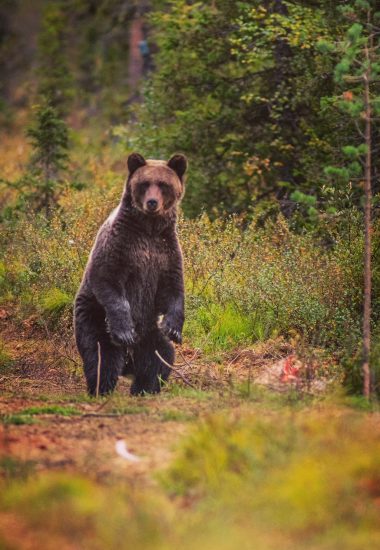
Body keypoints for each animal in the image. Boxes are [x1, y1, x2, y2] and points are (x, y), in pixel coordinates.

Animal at [73, 152, 187, 396]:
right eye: (144, 184)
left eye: (163, 184)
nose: (152, 202)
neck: (149, 229)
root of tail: (130, 356)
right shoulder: (120, 244)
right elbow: (107, 278)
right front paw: (125, 330)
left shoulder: (166, 252)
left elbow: (172, 288)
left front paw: (173, 328)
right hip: (94, 317)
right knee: (101, 356)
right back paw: (101, 388)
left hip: (149, 330)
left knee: (159, 357)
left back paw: (145, 388)